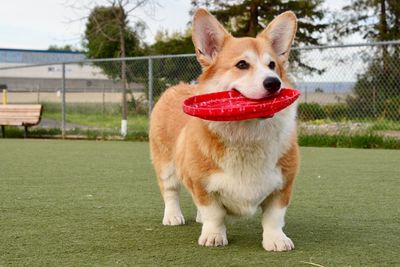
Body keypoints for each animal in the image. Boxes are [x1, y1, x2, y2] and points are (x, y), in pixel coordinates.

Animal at [150, 7, 300, 251]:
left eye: (272, 65)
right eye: (242, 65)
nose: (274, 83)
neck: (246, 135)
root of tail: (176, 87)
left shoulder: (283, 185)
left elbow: (274, 217)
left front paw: (276, 240)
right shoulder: (203, 185)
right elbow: (214, 214)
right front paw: (213, 236)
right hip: (165, 164)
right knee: (170, 191)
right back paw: (173, 216)